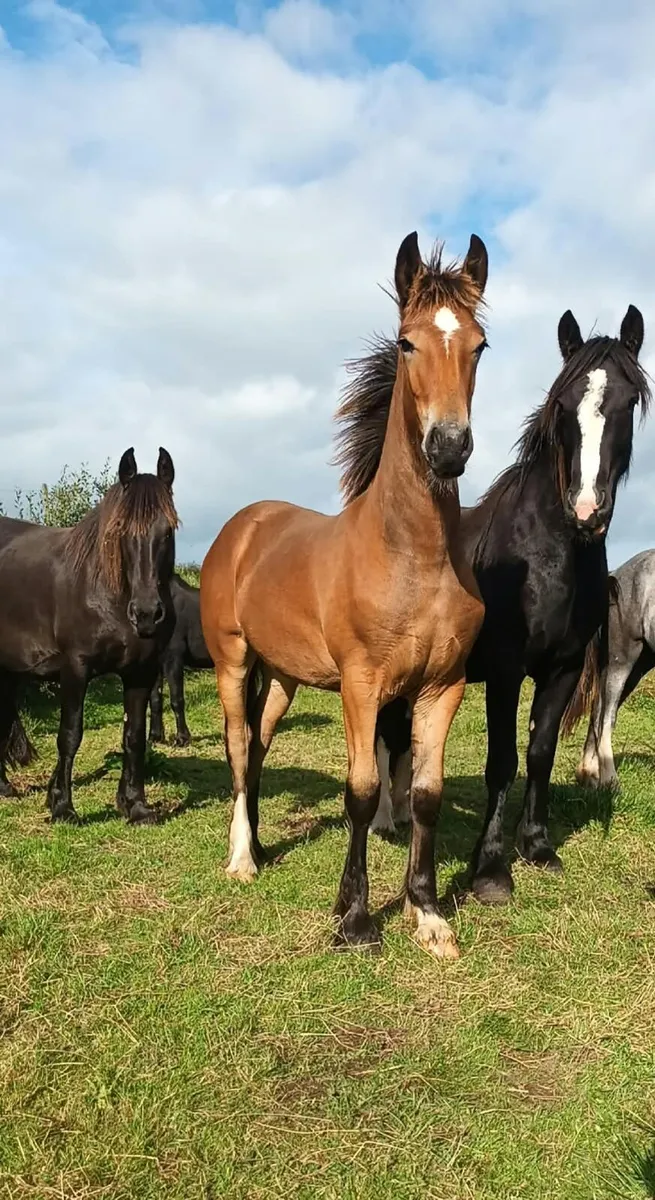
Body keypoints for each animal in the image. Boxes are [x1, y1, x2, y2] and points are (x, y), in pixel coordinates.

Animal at [0, 448, 178, 824]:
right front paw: (63, 807)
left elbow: (134, 736)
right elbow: (70, 736)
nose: (146, 614)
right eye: (122, 531)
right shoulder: (76, 669)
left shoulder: (140, 673)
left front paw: (136, 806)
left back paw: (4, 787)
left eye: (168, 530)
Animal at [200, 231, 489, 958]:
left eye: (479, 345)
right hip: (232, 661)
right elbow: (361, 791)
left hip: (283, 675)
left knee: (261, 745)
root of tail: (242, 526)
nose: (448, 447)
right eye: (407, 342)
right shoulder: (362, 685)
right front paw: (355, 921)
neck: (412, 556)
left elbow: (425, 794)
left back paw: (261, 845)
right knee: (239, 748)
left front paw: (427, 915)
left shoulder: (441, 687)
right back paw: (241, 859)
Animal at [566, 549, 655, 790]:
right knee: (606, 715)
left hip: (638, 665)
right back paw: (610, 780)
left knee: (599, 710)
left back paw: (588, 775)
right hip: (621, 660)